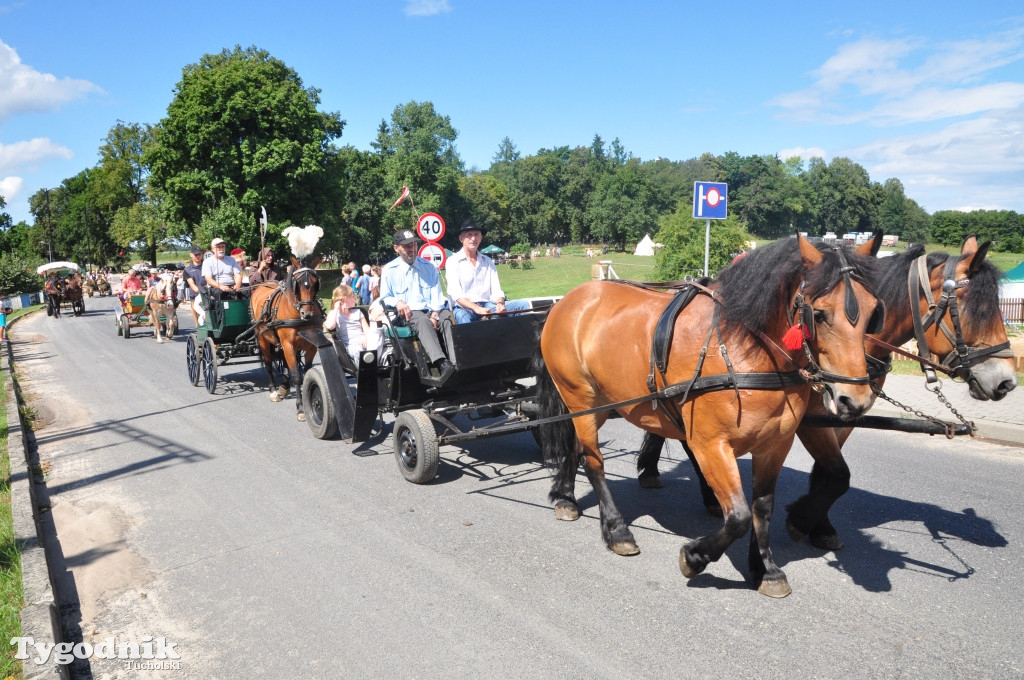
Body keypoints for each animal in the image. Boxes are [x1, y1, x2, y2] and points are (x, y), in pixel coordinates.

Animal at [248, 256, 321, 419]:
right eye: (297, 284)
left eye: (316, 283)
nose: (307, 314)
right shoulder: (288, 344)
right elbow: (297, 376)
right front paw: (300, 408)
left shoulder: (311, 346)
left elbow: (306, 373)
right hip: (263, 339)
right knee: (269, 364)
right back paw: (274, 391)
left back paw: (284, 386)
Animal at [536, 236, 880, 598]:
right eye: (820, 314)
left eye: (874, 312)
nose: (855, 399)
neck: (744, 350)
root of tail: (567, 301)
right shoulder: (710, 445)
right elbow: (739, 517)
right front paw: (695, 556)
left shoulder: (775, 444)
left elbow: (762, 508)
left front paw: (765, 568)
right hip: (579, 398)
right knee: (594, 462)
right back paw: (617, 531)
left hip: (601, 405)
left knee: (575, 447)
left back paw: (565, 497)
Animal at [634, 233, 1019, 553]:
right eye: (975, 310)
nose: (1007, 382)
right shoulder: (811, 422)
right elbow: (838, 475)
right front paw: (801, 518)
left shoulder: (844, 415)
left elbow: (829, 474)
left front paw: (819, 525)